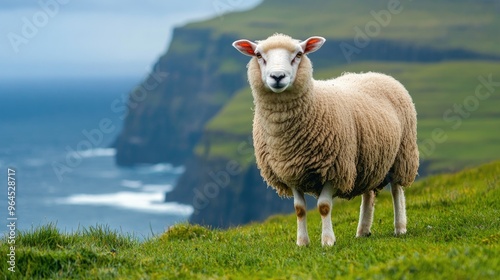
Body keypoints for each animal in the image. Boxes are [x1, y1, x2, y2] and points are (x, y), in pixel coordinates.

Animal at [232, 32, 420, 246]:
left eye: (299, 54)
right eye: (258, 55)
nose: (277, 77)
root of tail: (376, 74)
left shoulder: (335, 167)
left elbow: (324, 206)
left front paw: (328, 241)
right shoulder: (291, 169)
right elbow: (299, 209)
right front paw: (302, 242)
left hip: (402, 153)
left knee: (397, 190)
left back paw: (400, 227)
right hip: (369, 158)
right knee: (368, 193)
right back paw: (363, 230)